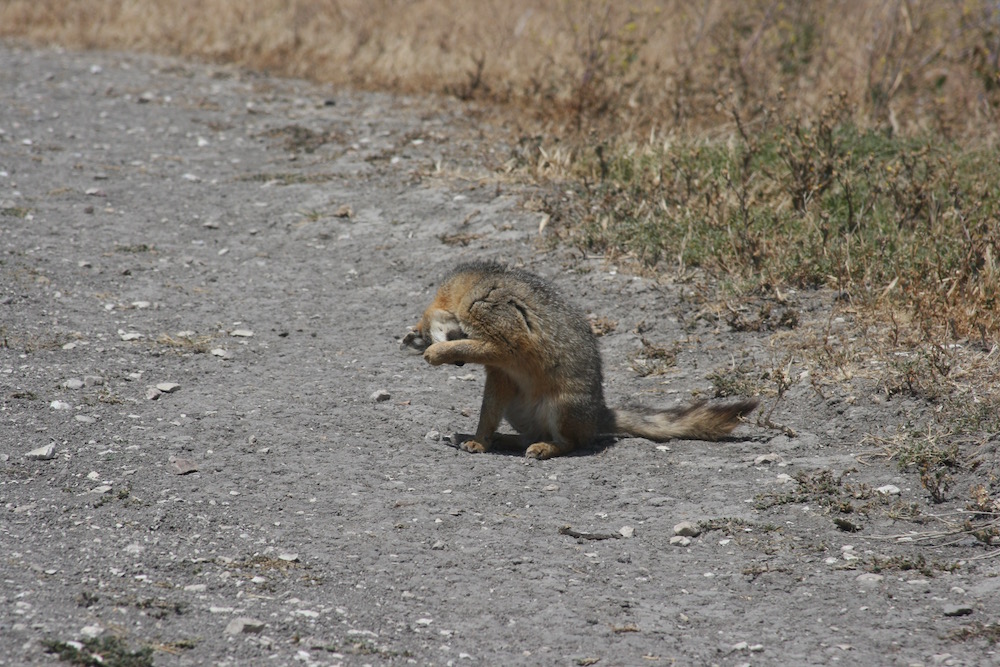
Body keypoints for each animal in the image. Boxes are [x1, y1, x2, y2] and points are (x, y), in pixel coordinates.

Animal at [402, 260, 752, 460]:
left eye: (434, 338)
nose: (458, 365)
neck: (467, 287)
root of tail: (599, 414)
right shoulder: (500, 374)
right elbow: (487, 415)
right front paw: (480, 440)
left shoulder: (506, 338)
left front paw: (439, 355)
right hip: (518, 410)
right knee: (530, 435)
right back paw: (504, 439)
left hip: (561, 408)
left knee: (570, 444)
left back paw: (545, 449)